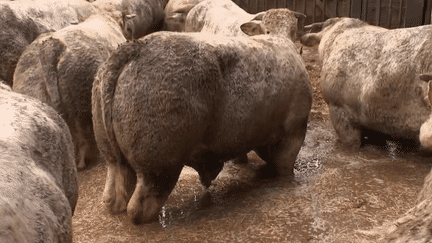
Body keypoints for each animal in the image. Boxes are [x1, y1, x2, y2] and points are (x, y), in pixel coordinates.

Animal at [93, 8, 312, 224]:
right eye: (265, 29)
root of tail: (135, 49)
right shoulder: (294, 133)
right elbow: (284, 168)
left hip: (114, 160)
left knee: (113, 196)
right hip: (158, 168)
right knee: (139, 209)